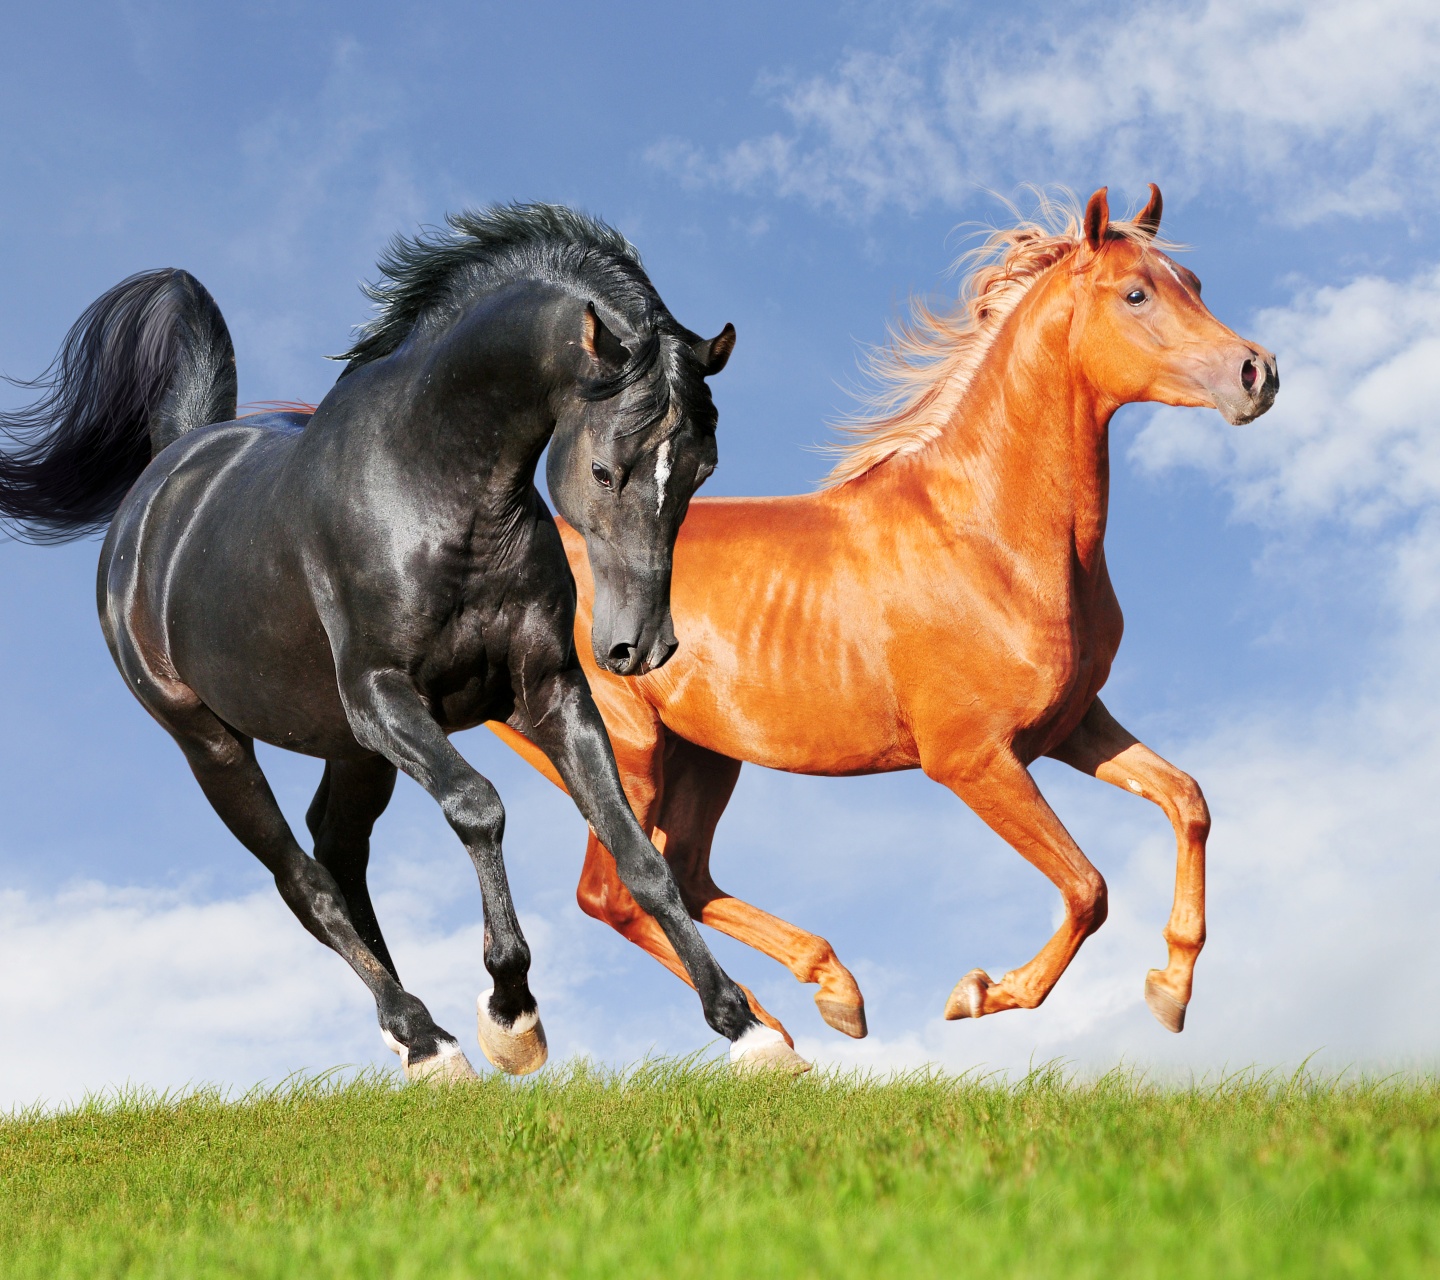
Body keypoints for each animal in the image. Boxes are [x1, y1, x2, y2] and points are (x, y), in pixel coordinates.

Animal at [0, 207, 806, 1076]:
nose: (640, 647)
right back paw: (423, 1036)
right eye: (602, 469)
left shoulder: (548, 691)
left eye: (701, 468)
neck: (435, 490)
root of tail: (164, 481)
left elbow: (639, 854)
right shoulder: (384, 696)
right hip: (211, 743)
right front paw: (511, 1014)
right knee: (304, 880)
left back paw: (415, 1035)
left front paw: (746, 1027)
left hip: (350, 749)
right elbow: (479, 808)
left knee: (337, 852)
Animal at [489, 187, 1278, 1048]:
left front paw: (1171, 987)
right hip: (623, 753)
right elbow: (1087, 887)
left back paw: (826, 994)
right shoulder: (972, 761)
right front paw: (981, 992)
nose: (1257, 373)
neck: (989, 537)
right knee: (619, 892)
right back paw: (768, 1030)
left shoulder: (1070, 725)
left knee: (686, 876)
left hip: (703, 756)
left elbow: (1187, 800)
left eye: (1192, 282)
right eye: (1136, 294)